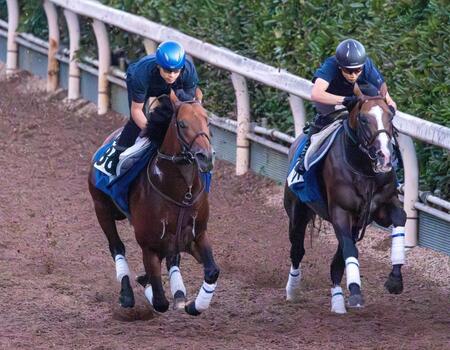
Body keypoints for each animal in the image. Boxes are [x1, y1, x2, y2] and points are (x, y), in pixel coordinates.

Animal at [88, 94, 220, 316]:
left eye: (207, 121)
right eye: (182, 124)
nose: (206, 156)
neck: (181, 194)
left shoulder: (198, 234)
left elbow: (212, 271)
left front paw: (194, 305)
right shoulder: (149, 246)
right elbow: (159, 300)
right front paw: (145, 282)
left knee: (173, 259)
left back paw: (179, 293)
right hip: (102, 209)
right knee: (117, 246)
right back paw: (127, 293)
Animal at [284, 96, 408, 314]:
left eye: (390, 115)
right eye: (364, 119)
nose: (384, 156)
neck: (363, 169)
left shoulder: (380, 207)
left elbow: (400, 217)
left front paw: (395, 280)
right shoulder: (340, 212)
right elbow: (350, 250)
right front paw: (356, 293)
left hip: (355, 225)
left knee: (336, 261)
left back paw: (338, 302)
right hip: (297, 212)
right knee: (297, 250)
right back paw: (293, 291)